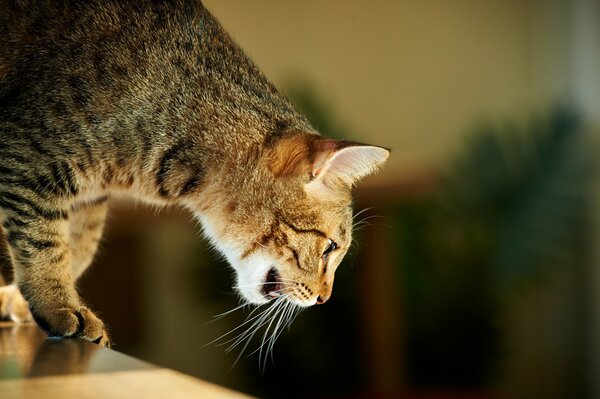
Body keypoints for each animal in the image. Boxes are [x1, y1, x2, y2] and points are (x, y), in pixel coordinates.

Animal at [0, 0, 390, 346]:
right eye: (330, 248)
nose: (326, 298)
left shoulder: (88, 200)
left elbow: (79, 246)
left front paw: (21, 300)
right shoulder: (28, 152)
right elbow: (44, 242)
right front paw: (57, 304)